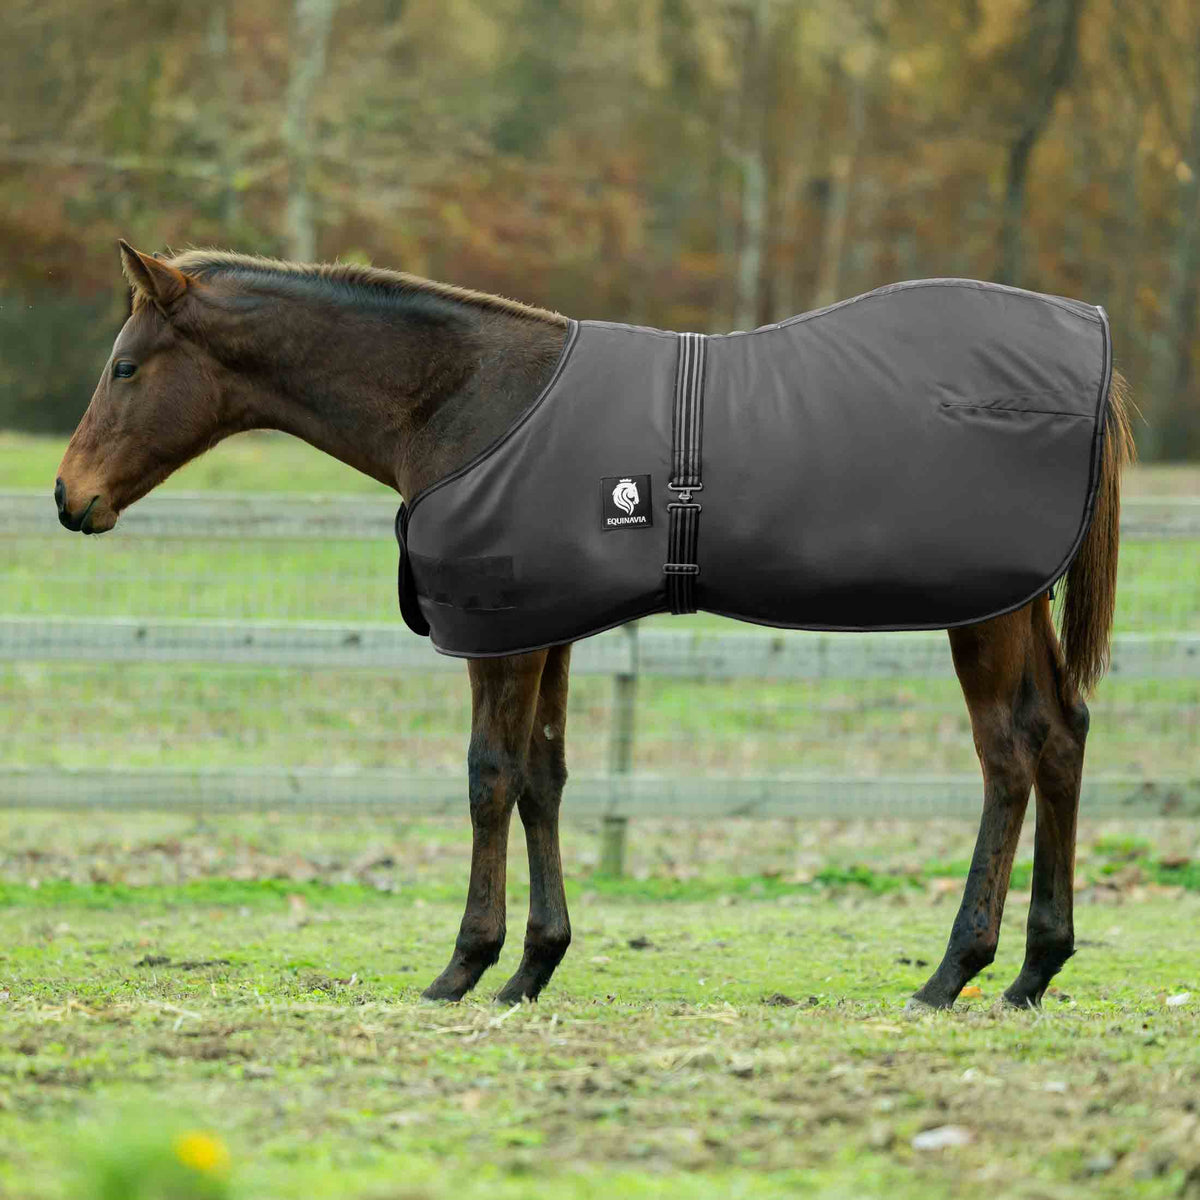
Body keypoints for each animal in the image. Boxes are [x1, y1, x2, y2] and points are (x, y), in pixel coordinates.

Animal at [55, 241, 1134, 1010]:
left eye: (124, 367)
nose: (70, 499)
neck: (464, 397)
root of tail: (1092, 352)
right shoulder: (552, 627)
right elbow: (545, 777)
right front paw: (533, 966)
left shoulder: (501, 636)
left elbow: (489, 778)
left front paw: (464, 965)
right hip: (1019, 606)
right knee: (1064, 739)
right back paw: (1034, 971)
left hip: (985, 612)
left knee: (1010, 753)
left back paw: (955, 972)